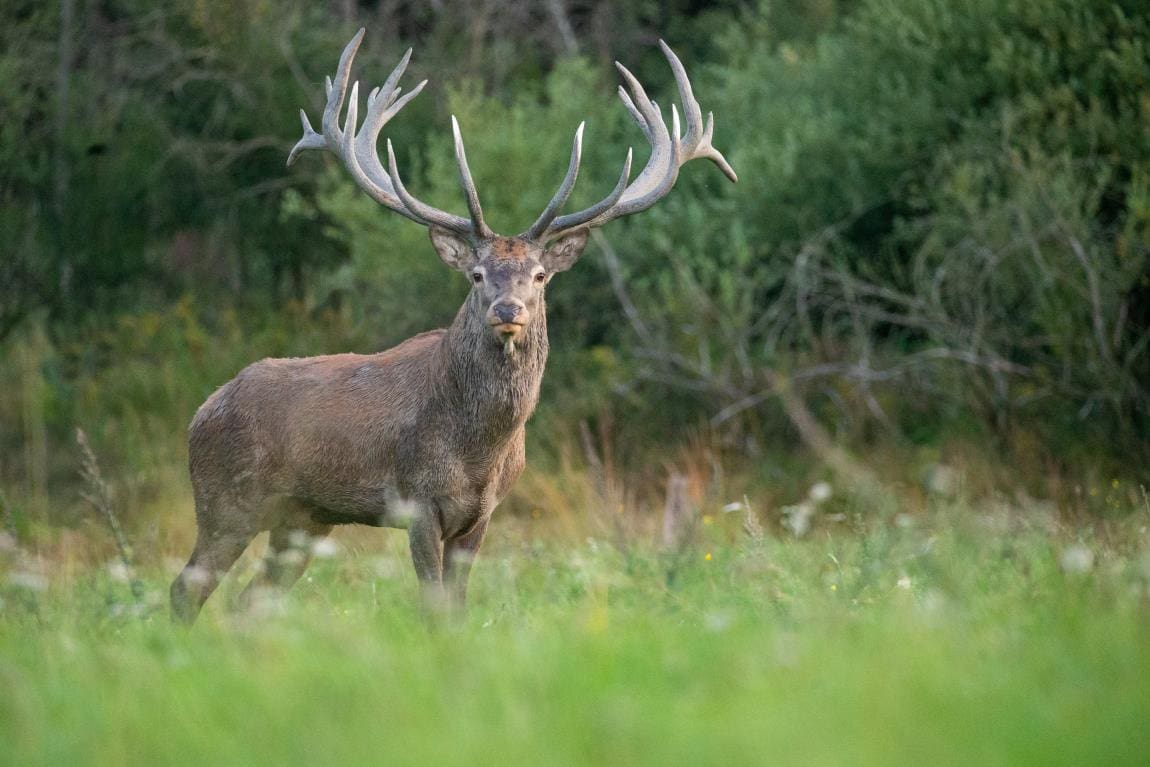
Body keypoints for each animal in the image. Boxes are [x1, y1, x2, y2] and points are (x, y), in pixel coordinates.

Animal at [170, 28, 736, 625]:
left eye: (539, 275)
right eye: (477, 273)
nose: (508, 310)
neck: (478, 454)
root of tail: (201, 411)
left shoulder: (482, 515)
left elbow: (459, 608)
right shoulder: (417, 502)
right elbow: (433, 607)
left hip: (302, 519)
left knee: (249, 602)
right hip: (227, 501)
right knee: (187, 587)